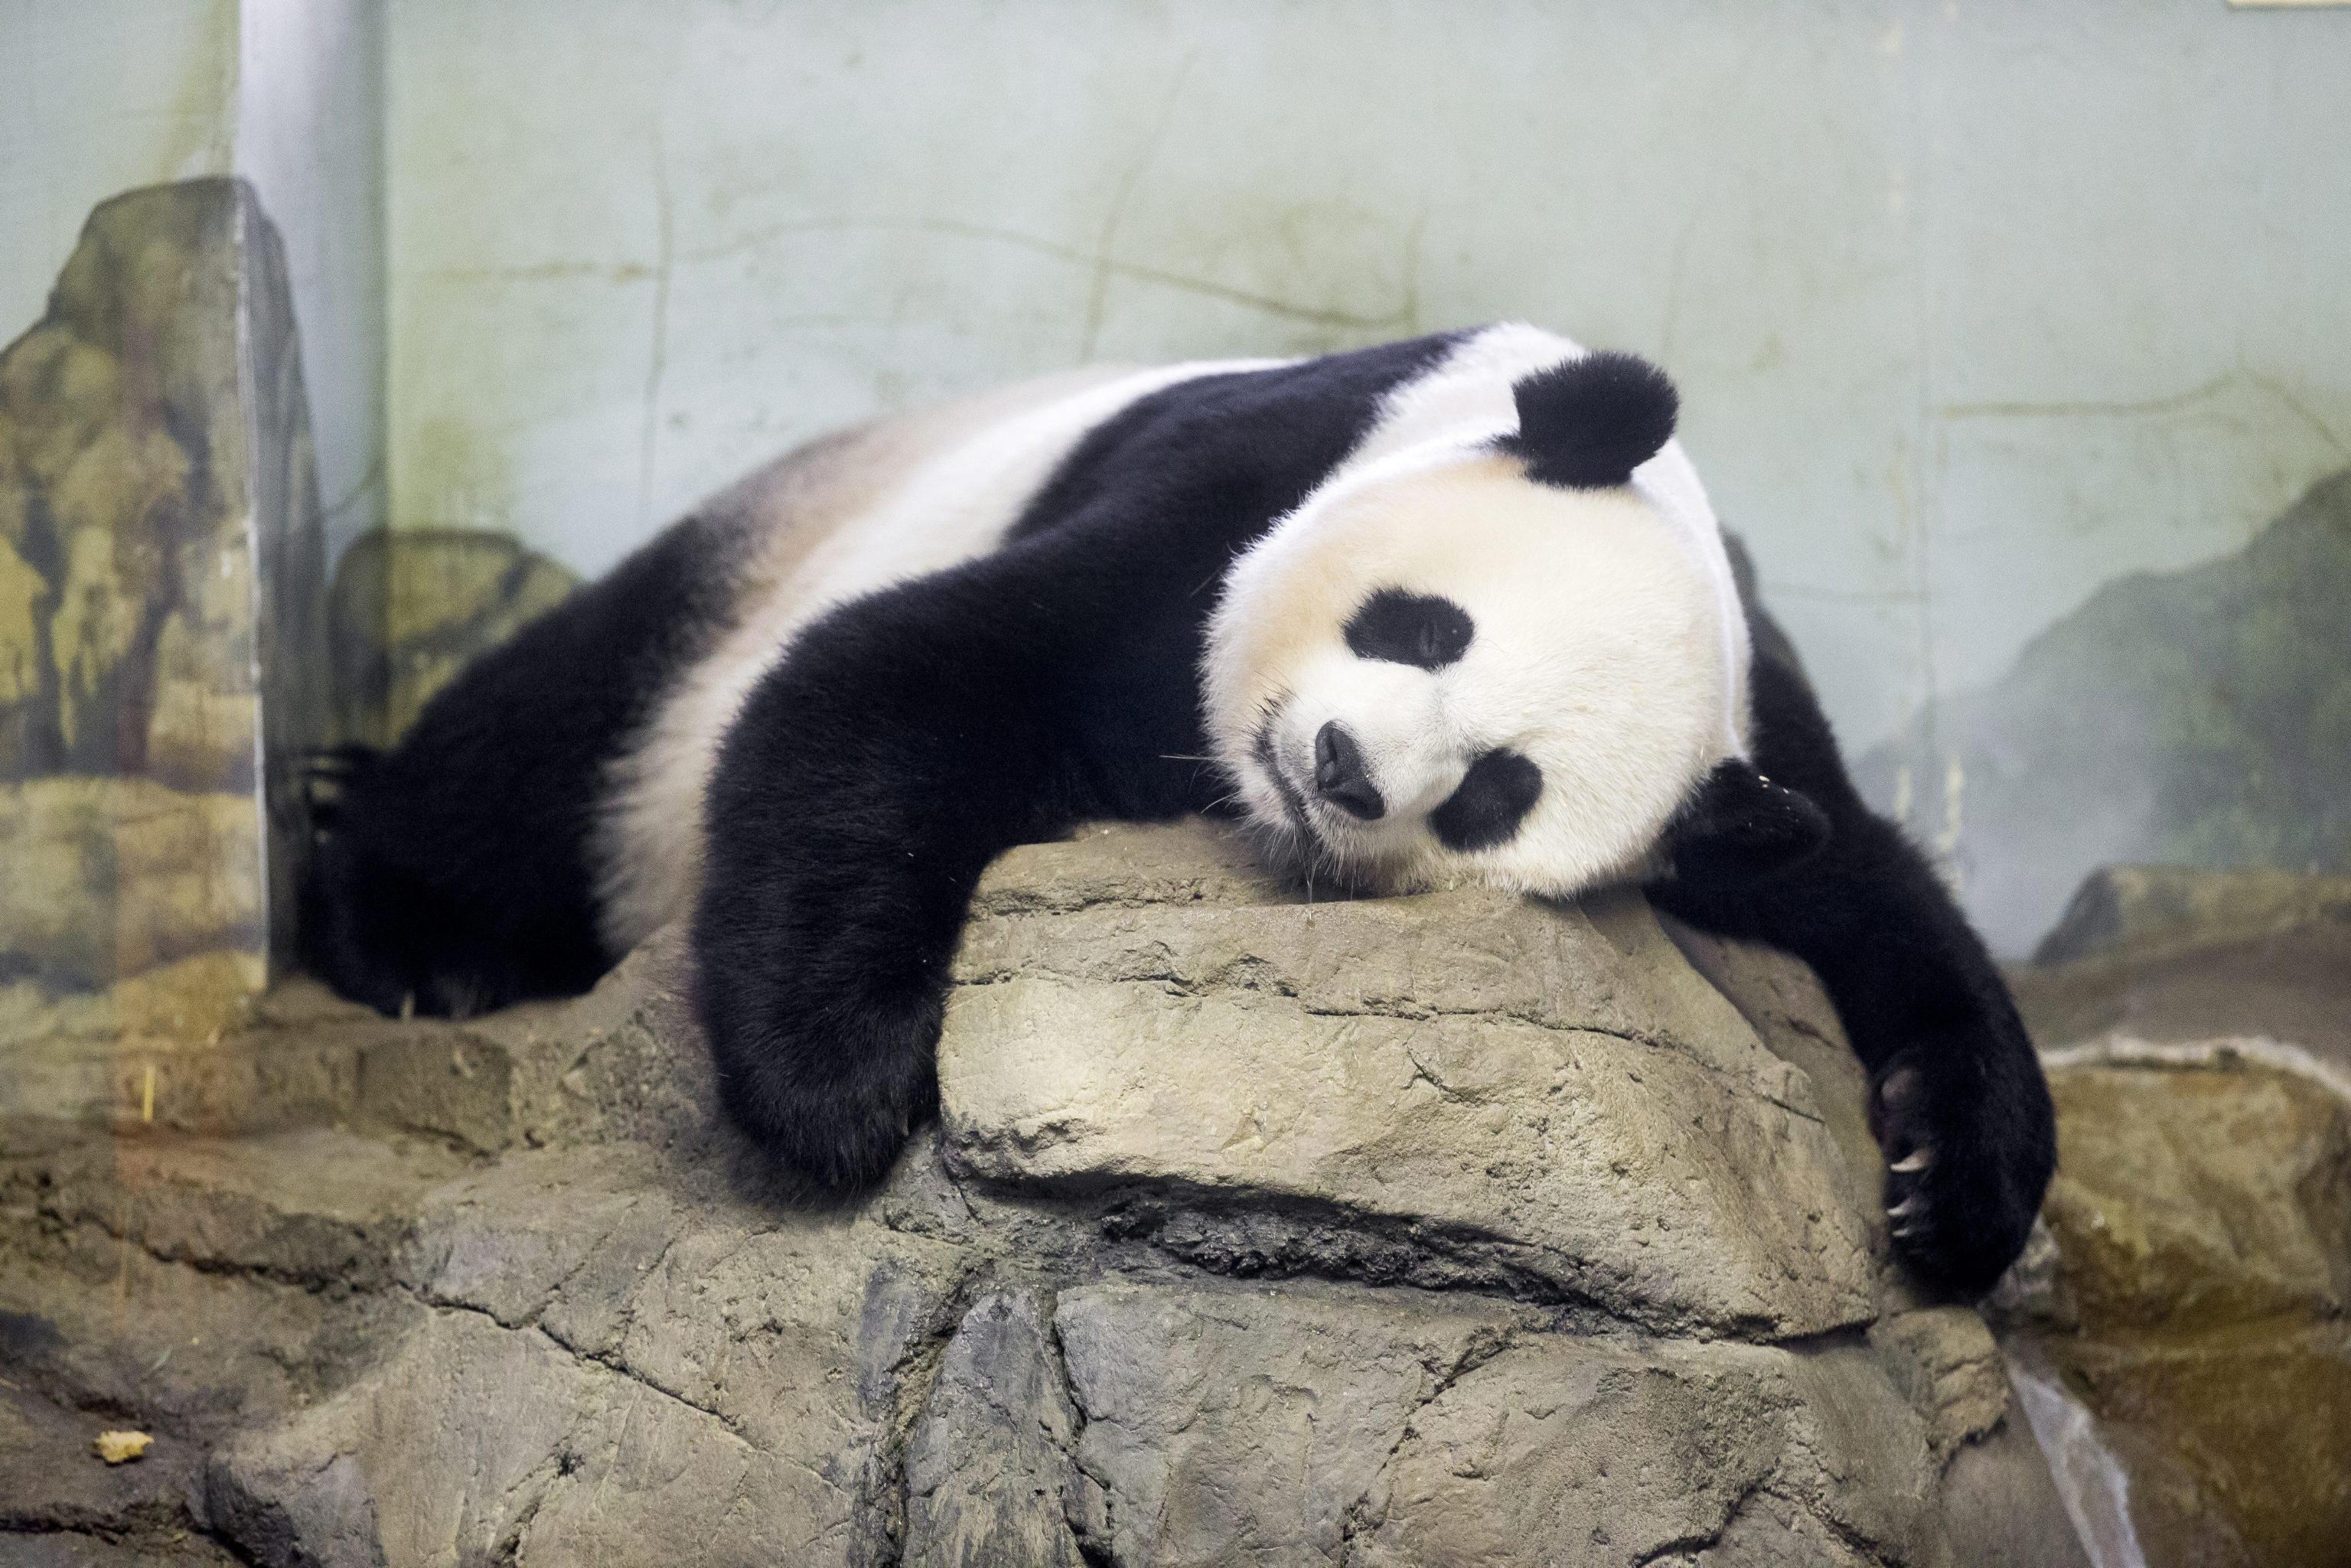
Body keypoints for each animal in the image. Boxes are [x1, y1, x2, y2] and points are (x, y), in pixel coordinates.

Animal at [304, 323, 2055, 1297]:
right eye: (1427, 626)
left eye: (1498, 792)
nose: (1343, 766)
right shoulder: (1238, 480)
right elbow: (901, 673)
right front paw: (839, 1086)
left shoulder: (1754, 738)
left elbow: (1873, 888)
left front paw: (1949, 1189)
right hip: (740, 577)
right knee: (556, 734)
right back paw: (408, 934)